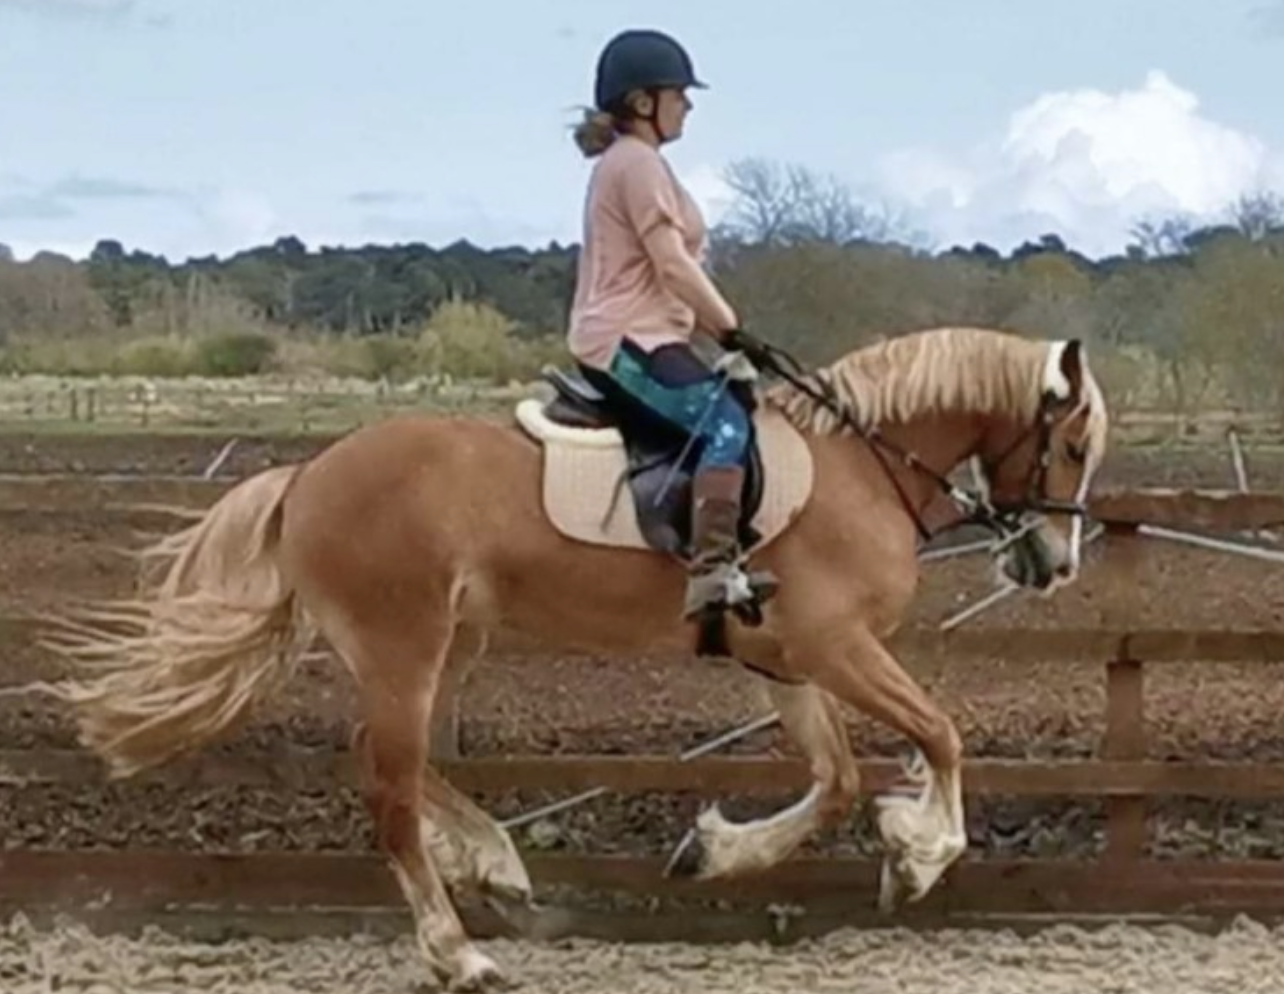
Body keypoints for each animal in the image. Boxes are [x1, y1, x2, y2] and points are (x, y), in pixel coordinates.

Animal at [36, 325, 1109, 991]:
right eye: (1071, 446)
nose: (1053, 564)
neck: (858, 468)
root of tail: (307, 473)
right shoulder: (837, 646)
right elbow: (943, 736)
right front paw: (920, 856)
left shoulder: (790, 663)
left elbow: (838, 781)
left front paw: (717, 851)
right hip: (403, 645)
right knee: (388, 784)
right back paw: (459, 955)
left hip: (450, 642)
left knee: (391, 765)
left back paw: (497, 868)